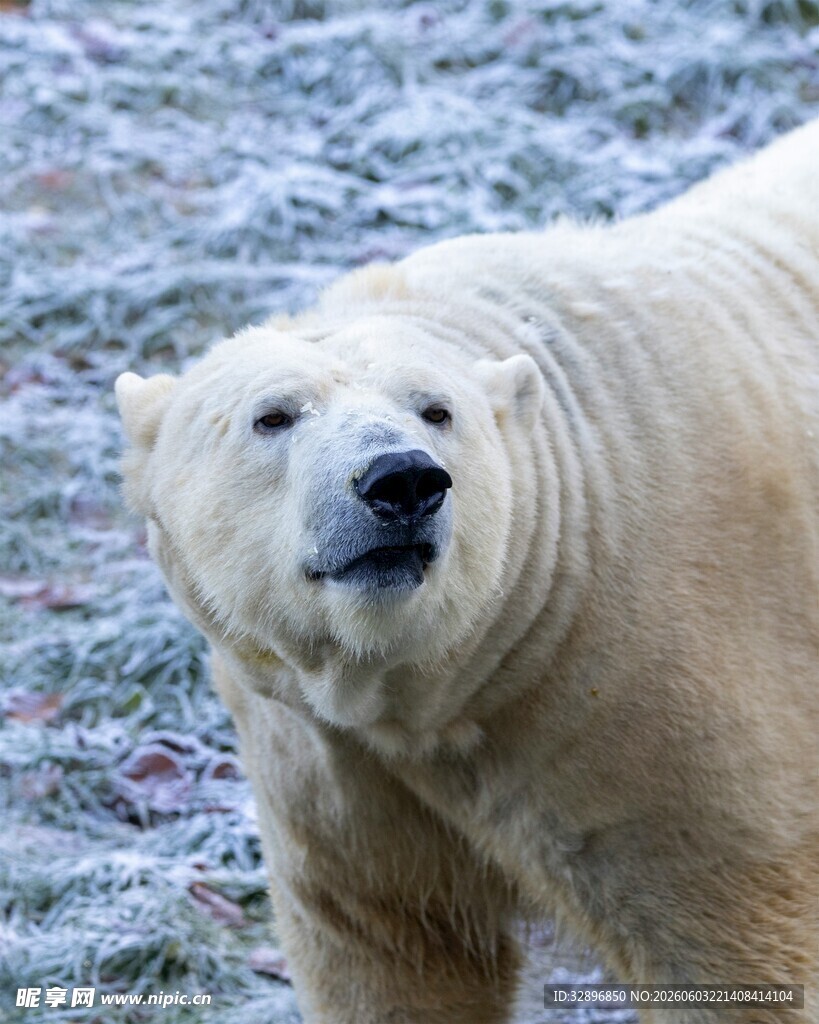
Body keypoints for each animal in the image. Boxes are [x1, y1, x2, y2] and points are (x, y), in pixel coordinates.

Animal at [116, 117, 819, 1024]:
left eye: (435, 409)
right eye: (271, 416)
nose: (401, 481)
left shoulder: (654, 717)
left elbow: (724, 952)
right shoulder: (336, 764)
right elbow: (389, 952)